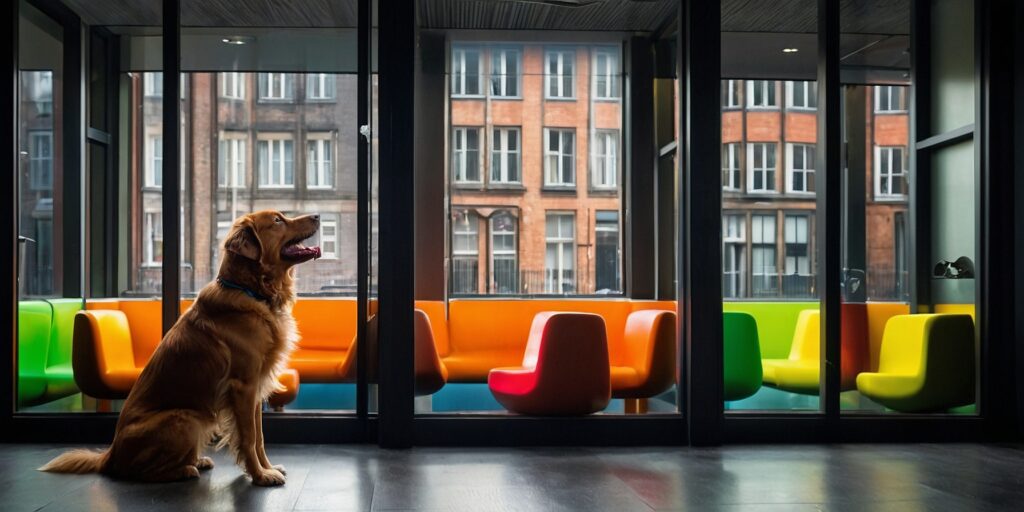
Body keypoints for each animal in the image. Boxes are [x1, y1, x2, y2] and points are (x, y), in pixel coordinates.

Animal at [39, 209, 319, 485]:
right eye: (277, 220)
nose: (316, 216)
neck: (251, 290)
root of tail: (111, 453)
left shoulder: (256, 387)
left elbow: (259, 437)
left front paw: (267, 468)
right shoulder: (243, 386)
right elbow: (249, 438)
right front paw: (260, 476)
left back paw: (196, 461)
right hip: (186, 419)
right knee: (135, 471)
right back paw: (185, 470)